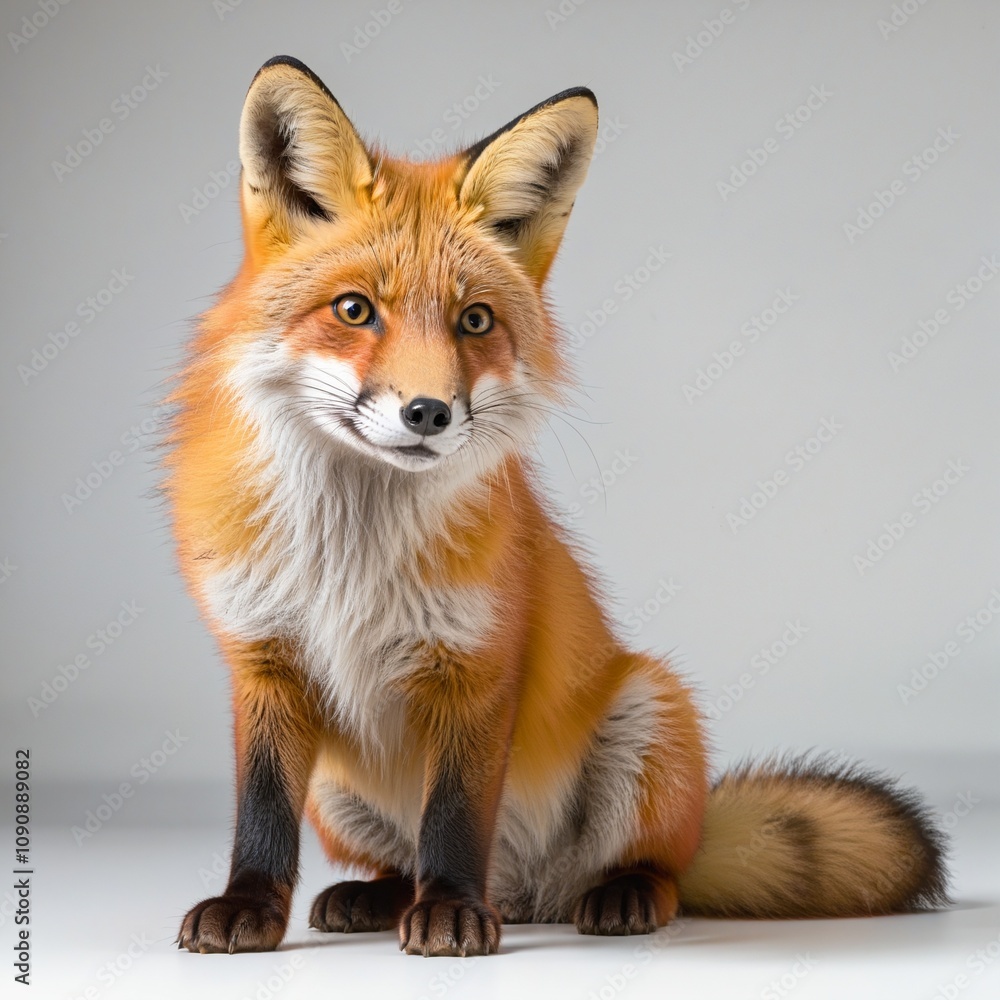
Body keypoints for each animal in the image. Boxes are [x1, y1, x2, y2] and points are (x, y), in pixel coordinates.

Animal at [169, 56, 948, 957]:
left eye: (474, 320)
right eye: (355, 310)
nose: (429, 413)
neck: (350, 553)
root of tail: (527, 892)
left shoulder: (478, 667)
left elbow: (454, 817)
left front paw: (450, 910)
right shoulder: (265, 662)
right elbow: (261, 813)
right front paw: (250, 905)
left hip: (649, 711)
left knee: (659, 870)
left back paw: (612, 894)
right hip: (336, 789)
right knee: (400, 859)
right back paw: (380, 897)